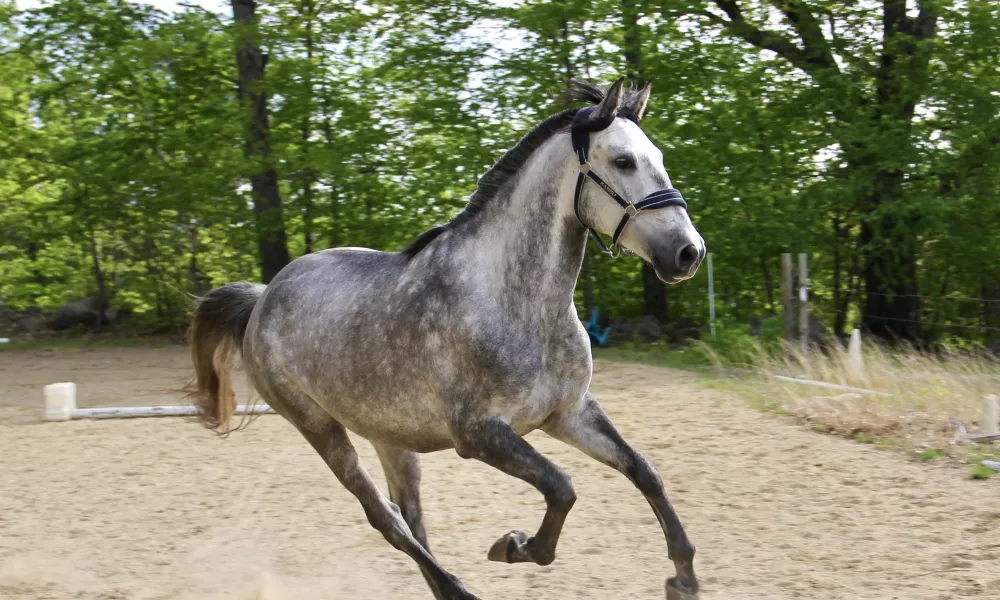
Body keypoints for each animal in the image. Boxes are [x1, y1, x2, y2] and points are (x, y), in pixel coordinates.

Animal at [186, 79, 704, 600]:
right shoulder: (478, 433)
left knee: (410, 518)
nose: (689, 253)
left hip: (389, 435)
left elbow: (643, 471)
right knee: (387, 521)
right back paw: (459, 589)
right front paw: (513, 546)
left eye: (657, 157)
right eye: (623, 161)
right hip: (320, 428)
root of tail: (264, 298)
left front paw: (683, 576)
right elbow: (562, 487)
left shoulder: (568, 413)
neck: (520, 304)